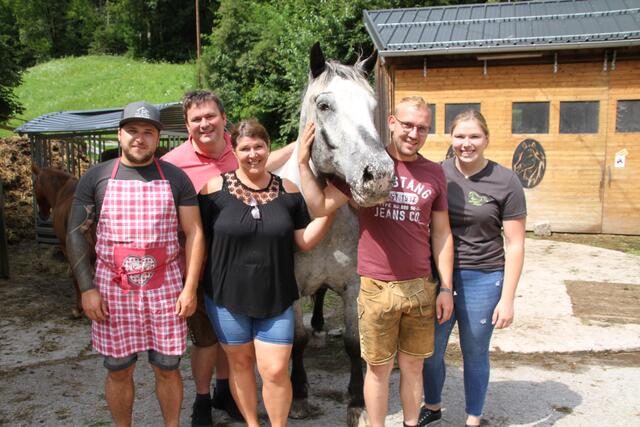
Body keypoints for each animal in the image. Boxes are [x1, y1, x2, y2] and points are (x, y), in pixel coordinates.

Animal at [32, 165, 95, 317]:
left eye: (34, 185)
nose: (42, 215)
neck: (63, 192)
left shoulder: (66, 246)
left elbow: (76, 275)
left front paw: (78, 309)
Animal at [276, 42, 395, 426]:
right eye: (325, 106)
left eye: (373, 107)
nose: (379, 175)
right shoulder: (291, 286)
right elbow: (295, 340)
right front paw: (299, 396)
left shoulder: (353, 286)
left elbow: (355, 343)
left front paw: (357, 402)